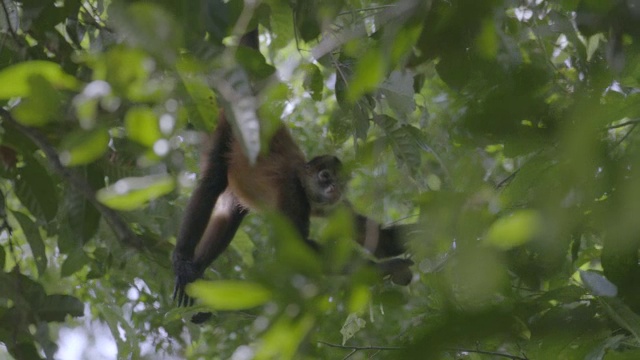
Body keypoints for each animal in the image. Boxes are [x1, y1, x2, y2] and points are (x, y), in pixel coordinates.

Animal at [170, 29, 412, 308]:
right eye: (325, 176)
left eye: (340, 181)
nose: (333, 187)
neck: (306, 187)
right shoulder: (292, 192)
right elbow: (297, 250)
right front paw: (389, 268)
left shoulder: (336, 205)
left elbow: (383, 242)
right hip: (224, 125)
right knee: (212, 181)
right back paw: (183, 261)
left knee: (231, 210)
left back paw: (196, 272)